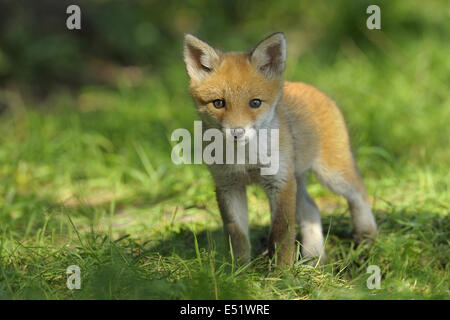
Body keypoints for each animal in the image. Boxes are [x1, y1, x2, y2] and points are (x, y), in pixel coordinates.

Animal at [183, 32, 376, 266]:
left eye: (255, 103)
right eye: (218, 103)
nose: (237, 133)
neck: (246, 159)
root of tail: (311, 87)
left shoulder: (280, 182)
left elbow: (281, 235)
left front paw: (281, 272)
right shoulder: (228, 185)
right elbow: (237, 235)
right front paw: (239, 270)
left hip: (332, 175)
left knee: (359, 193)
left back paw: (367, 237)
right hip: (298, 180)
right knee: (312, 209)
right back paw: (313, 257)